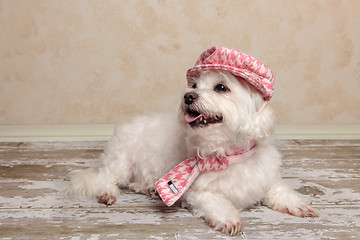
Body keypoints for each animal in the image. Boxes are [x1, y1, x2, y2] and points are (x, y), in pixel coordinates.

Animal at [67, 46, 318, 234]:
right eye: (195, 86)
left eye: (221, 87)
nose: (188, 96)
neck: (229, 155)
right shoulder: (196, 193)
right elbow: (216, 203)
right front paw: (228, 218)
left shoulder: (267, 179)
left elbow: (281, 191)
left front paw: (298, 203)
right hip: (122, 160)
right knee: (105, 178)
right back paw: (107, 193)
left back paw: (151, 189)